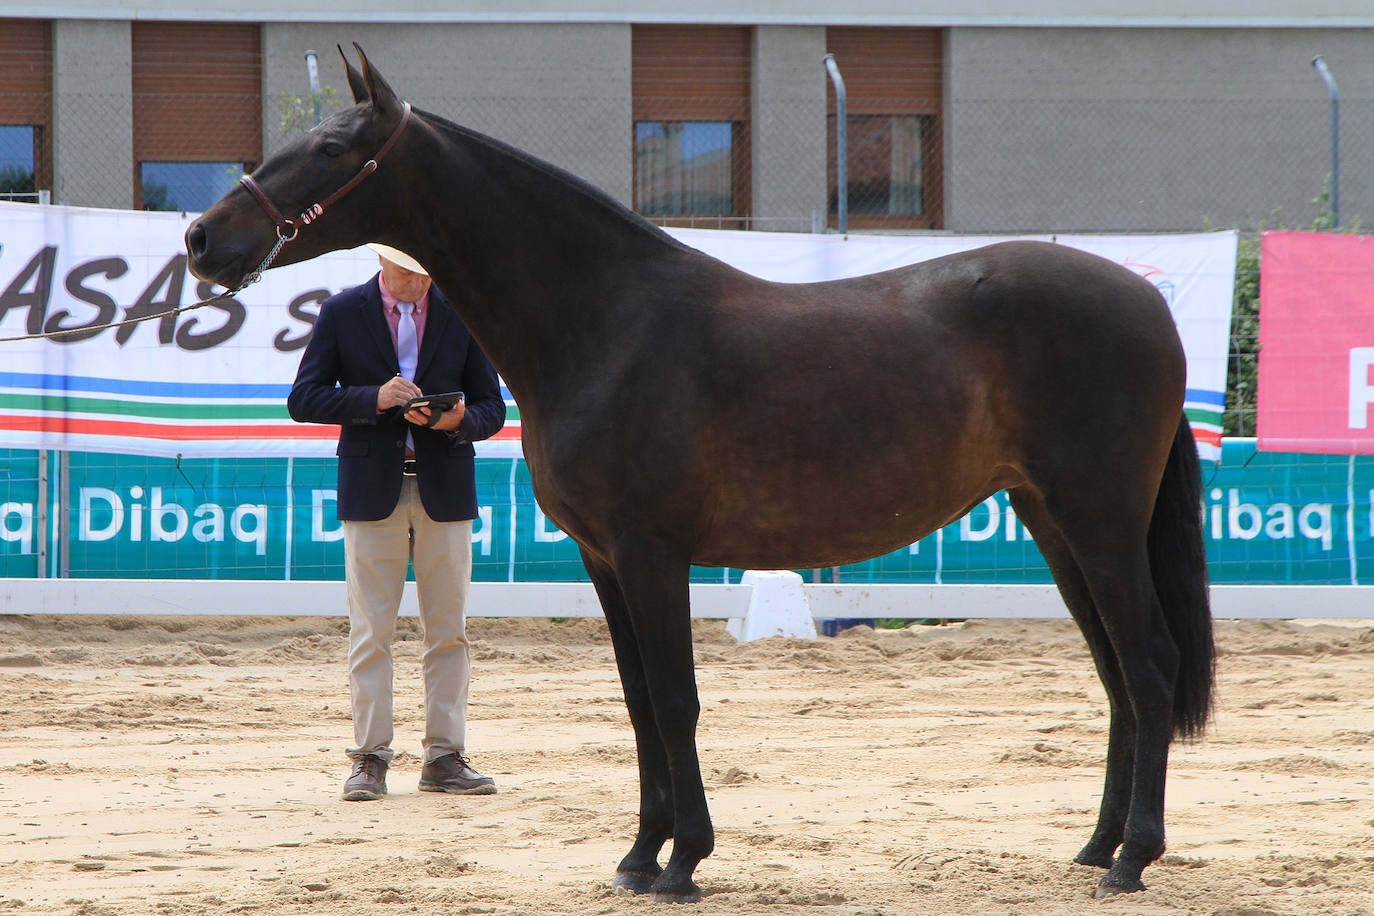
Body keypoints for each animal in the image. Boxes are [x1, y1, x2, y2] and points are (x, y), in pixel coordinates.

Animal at [182, 44, 1214, 900]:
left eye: (330, 147)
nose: (201, 240)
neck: (606, 322)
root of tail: (1147, 308)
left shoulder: (652, 553)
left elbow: (676, 700)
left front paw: (685, 863)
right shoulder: (603, 558)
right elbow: (642, 704)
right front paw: (641, 857)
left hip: (1100, 526)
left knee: (1149, 662)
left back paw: (1131, 858)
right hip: (1054, 523)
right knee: (1116, 672)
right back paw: (1094, 845)